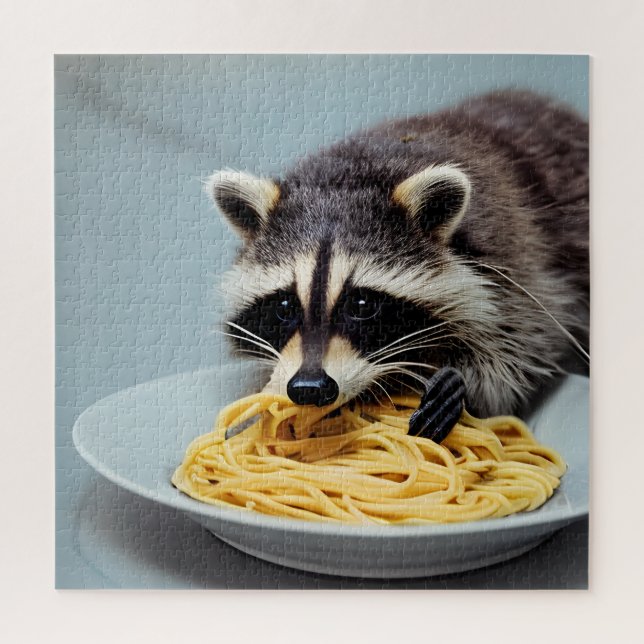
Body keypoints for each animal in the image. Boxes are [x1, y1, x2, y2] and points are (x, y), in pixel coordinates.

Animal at [207, 90, 589, 433]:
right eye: (284, 306)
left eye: (361, 305)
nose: (310, 389)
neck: (349, 174)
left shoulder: (515, 257)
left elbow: (525, 346)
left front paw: (462, 383)